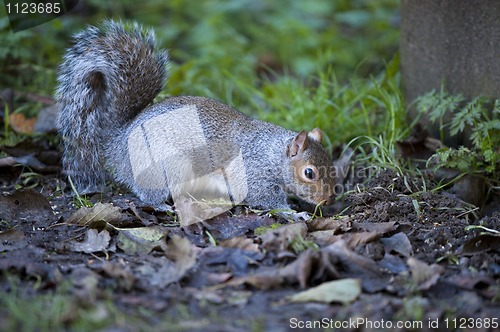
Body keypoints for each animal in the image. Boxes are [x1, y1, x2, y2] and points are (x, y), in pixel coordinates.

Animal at [55, 19, 336, 219]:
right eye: (309, 173)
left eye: (332, 165)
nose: (329, 200)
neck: (272, 153)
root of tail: (118, 141)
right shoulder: (253, 175)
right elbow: (265, 200)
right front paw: (295, 213)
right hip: (163, 168)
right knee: (148, 193)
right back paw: (162, 205)